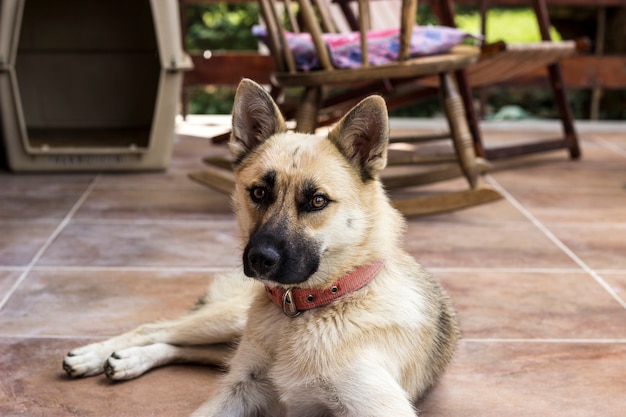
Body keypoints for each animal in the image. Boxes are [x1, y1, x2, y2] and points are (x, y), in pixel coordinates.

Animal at [61, 79, 456, 416]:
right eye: (259, 192)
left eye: (317, 201)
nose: (259, 260)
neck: (315, 304)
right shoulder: (238, 391)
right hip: (227, 322)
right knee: (155, 330)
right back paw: (94, 356)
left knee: (187, 347)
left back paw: (128, 360)